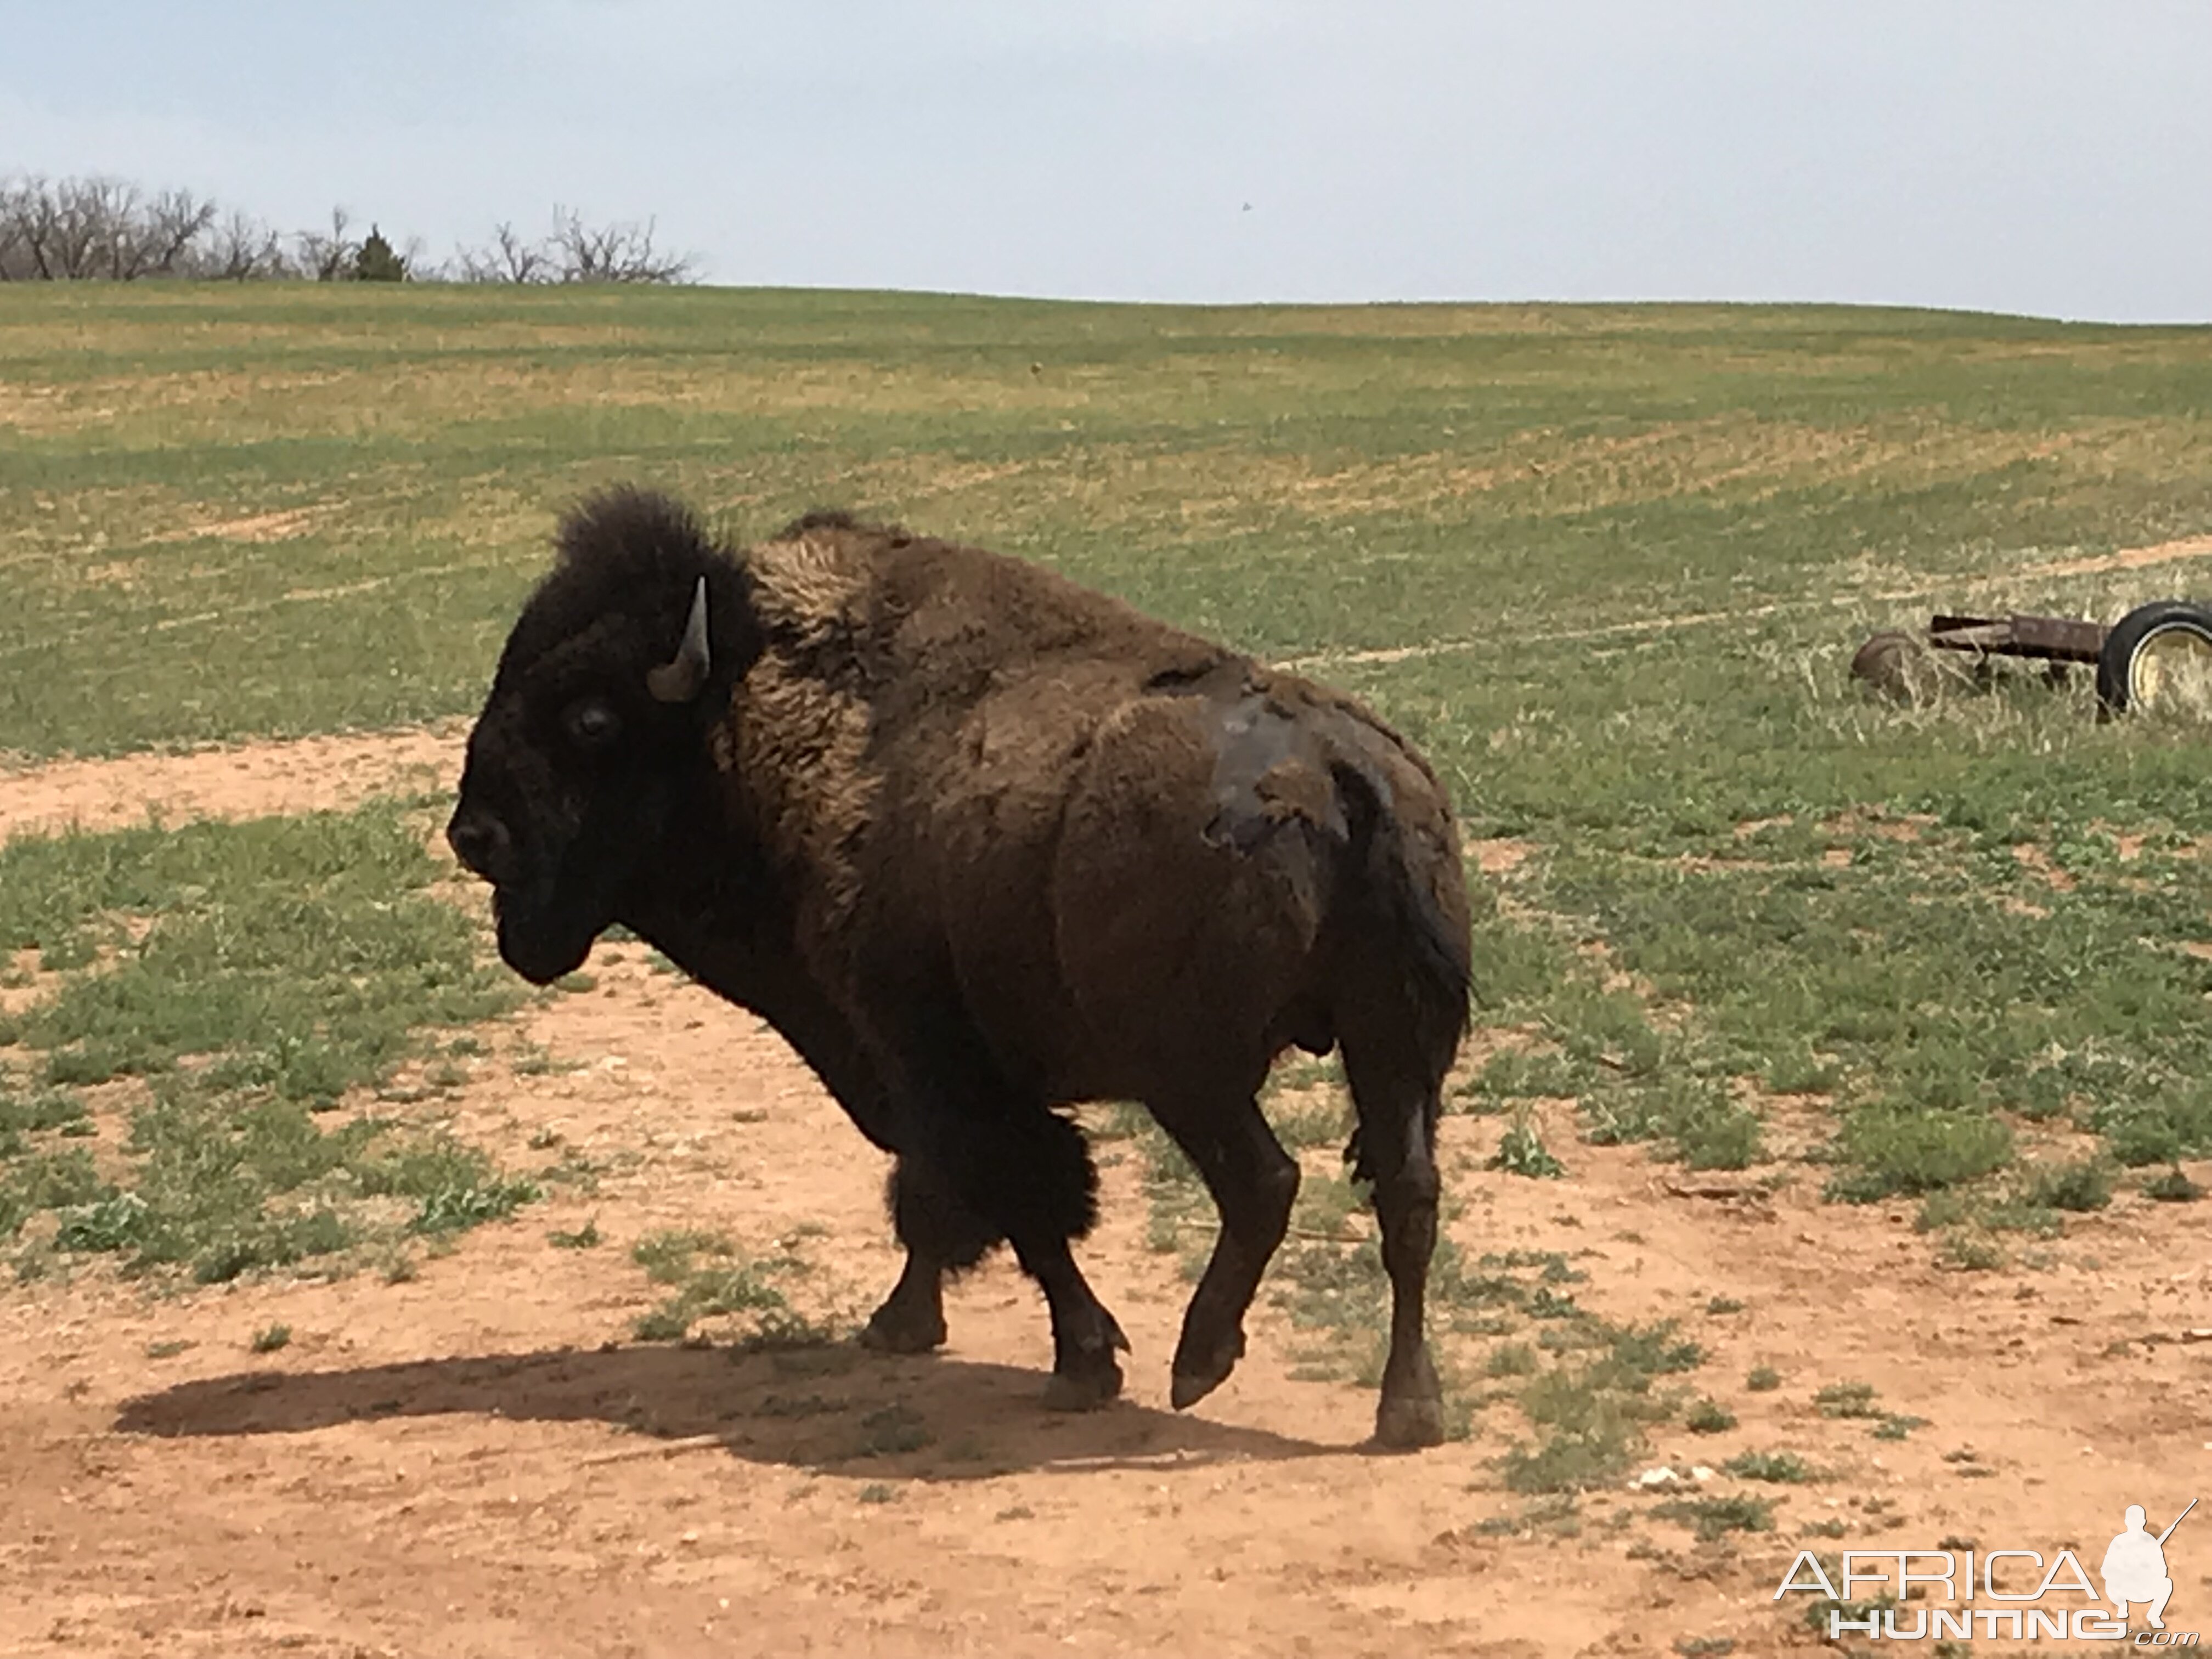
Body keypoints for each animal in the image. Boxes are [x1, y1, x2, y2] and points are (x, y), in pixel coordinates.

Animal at [449, 487, 1477, 1451]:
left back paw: (1200, 1360)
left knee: (1265, 1183)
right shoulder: (921, 1068)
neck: (743, 711)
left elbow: (1005, 1194)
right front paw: (907, 1324)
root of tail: (1339, 771)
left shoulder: (929, 1055)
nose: (472, 834)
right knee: (1408, 1194)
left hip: (1193, 1073)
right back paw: (1408, 1408)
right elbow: (944, 1193)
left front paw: (1078, 1360)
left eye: (589, 718)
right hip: (1390, 1046)